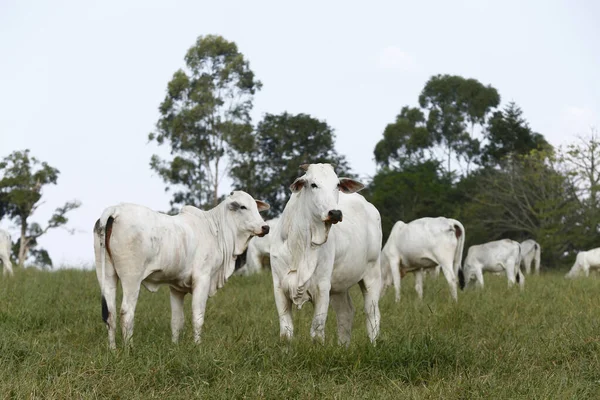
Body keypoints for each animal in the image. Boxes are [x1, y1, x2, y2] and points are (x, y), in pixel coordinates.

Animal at [93, 192, 270, 348]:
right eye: (243, 207)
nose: (265, 227)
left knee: (110, 314)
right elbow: (197, 317)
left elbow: (176, 321)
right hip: (132, 278)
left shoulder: (176, 288)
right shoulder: (202, 279)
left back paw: (113, 349)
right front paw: (197, 346)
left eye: (256, 206)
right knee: (126, 313)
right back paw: (129, 349)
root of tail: (115, 209)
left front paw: (175, 346)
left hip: (106, 275)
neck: (215, 229)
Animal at [270, 164, 382, 346]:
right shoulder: (279, 287)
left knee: (372, 312)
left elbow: (317, 331)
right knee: (345, 312)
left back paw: (373, 344)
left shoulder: (322, 287)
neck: (301, 244)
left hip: (372, 273)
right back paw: (343, 347)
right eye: (313, 184)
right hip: (338, 286)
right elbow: (286, 333)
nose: (335, 213)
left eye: (337, 185)